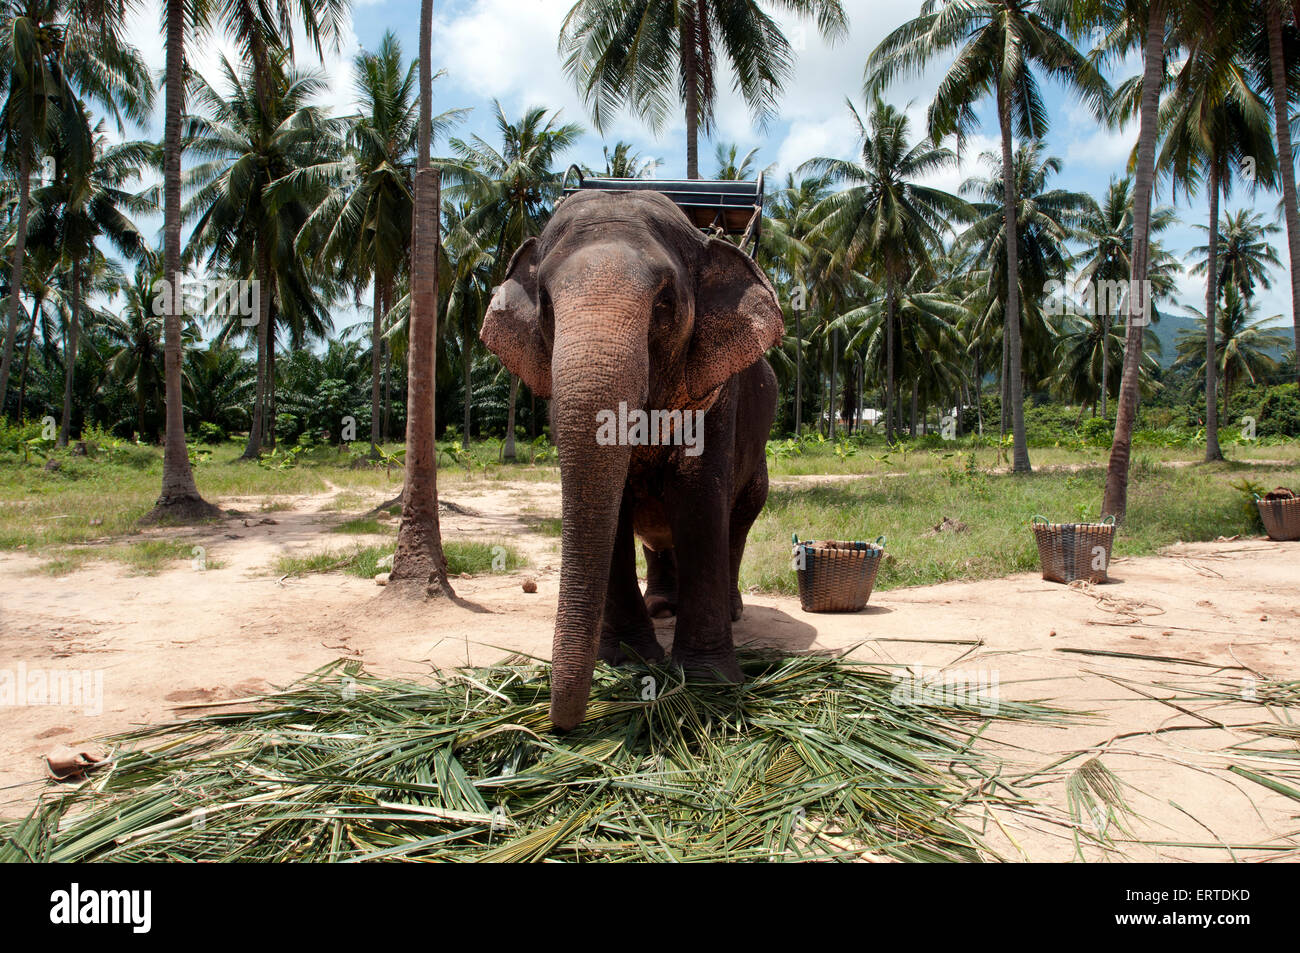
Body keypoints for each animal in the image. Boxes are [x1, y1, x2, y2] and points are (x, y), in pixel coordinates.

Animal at [480, 189, 774, 733]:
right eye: (546, 304)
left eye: (664, 303)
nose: (561, 727)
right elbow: (611, 511)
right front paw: (629, 663)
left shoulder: (720, 395)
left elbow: (700, 502)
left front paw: (707, 683)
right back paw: (661, 607)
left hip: (759, 470)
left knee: (737, 522)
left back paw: (732, 612)